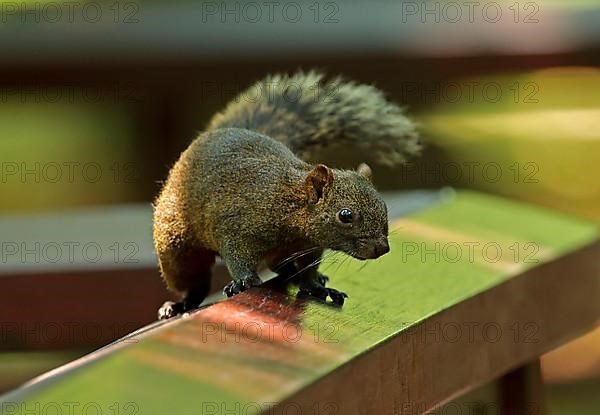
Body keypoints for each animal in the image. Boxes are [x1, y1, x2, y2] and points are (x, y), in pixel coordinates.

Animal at [152, 71, 420, 320]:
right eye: (345, 215)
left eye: (384, 207)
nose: (382, 248)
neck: (288, 204)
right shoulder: (235, 226)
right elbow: (238, 257)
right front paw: (243, 282)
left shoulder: (309, 247)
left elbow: (309, 270)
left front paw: (315, 286)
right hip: (176, 249)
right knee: (193, 282)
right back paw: (179, 305)